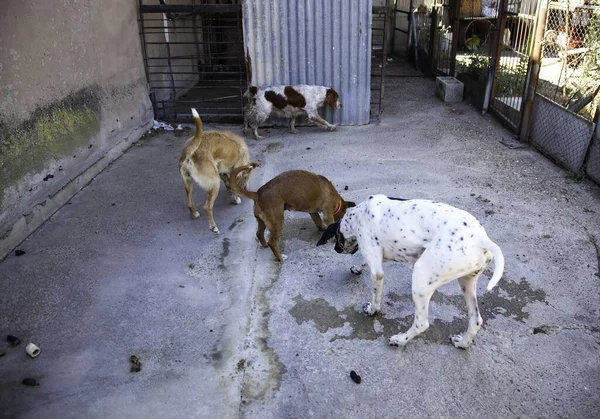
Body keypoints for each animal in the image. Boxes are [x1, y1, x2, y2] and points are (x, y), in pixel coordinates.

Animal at [316, 195, 504, 350]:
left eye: (336, 239)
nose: (336, 249)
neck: (358, 215)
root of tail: (481, 238)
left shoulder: (377, 271)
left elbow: (375, 295)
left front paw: (372, 310)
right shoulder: (382, 256)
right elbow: (363, 261)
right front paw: (357, 267)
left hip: (421, 276)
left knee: (422, 323)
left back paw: (400, 340)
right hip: (466, 283)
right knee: (476, 321)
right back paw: (462, 343)